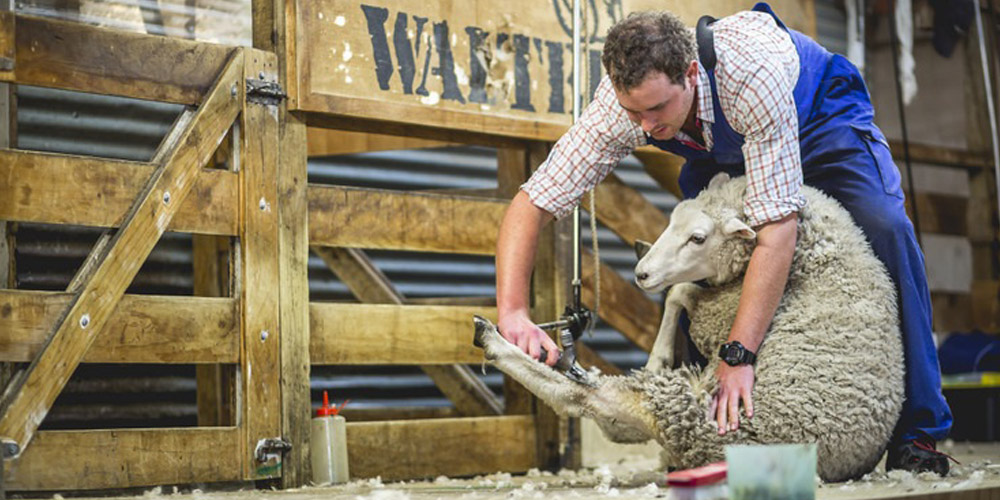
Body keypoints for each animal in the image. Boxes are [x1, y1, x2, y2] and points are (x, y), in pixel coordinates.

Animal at [476, 172, 908, 480]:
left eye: (698, 238)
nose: (642, 273)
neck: (817, 255)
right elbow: (677, 293)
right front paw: (659, 351)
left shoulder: (723, 314)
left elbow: (680, 291)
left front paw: (658, 355)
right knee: (612, 420)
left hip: (686, 405)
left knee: (587, 398)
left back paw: (496, 341)